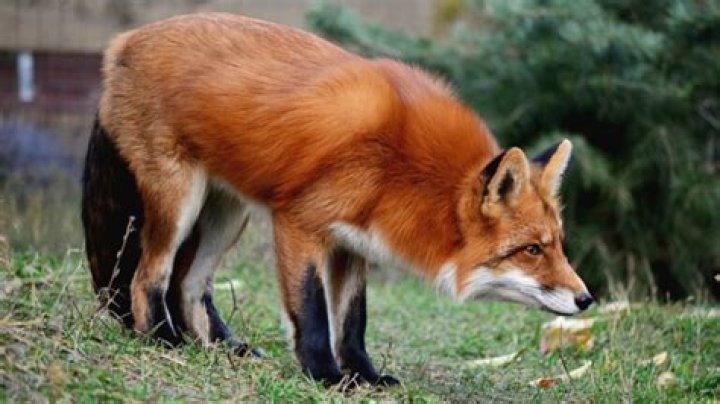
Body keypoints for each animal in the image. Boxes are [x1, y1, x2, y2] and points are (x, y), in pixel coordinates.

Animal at [82, 12, 593, 387]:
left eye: (558, 245)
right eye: (532, 249)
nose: (587, 299)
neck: (403, 164)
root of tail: (121, 43)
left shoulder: (352, 243)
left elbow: (352, 321)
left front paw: (364, 376)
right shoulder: (299, 223)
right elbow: (312, 312)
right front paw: (324, 375)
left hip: (227, 215)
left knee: (190, 285)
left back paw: (223, 348)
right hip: (179, 204)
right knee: (149, 278)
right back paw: (163, 341)